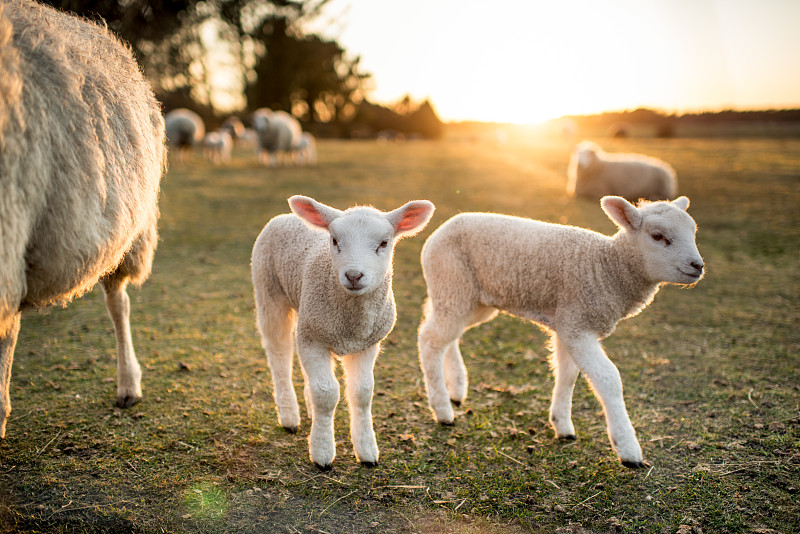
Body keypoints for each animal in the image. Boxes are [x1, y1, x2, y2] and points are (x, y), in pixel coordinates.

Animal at [253, 196, 434, 468]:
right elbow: (326, 394)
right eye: (335, 241)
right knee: (279, 356)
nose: (354, 275)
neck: (351, 324)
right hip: (269, 293)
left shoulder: (366, 344)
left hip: (306, 316)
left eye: (384, 243)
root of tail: (286, 216)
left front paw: (367, 451)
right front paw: (322, 453)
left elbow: (361, 393)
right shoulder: (314, 338)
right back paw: (289, 416)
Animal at [416, 197, 704, 468]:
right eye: (657, 236)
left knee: (446, 334)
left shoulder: (568, 324)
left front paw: (562, 425)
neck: (608, 267)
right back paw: (442, 409)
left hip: (471, 299)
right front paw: (628, 449)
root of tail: (442, 228)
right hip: (453, 283)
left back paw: (456, 388)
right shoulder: (577, 326)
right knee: (430, 339)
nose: (698, 265)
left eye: (693, 231)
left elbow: (567, 374)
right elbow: (608, 379)